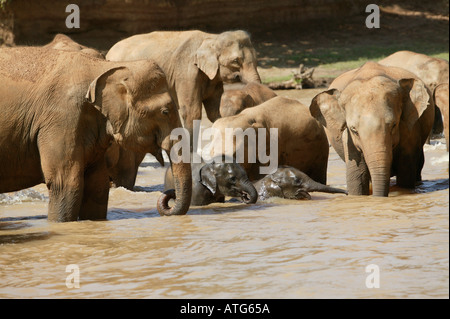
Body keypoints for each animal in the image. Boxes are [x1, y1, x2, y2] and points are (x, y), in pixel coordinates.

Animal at [0, 45, 192, 222]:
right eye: (165, 112)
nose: (170, 195)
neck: (105, 67)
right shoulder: (62, 119)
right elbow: (65, 183)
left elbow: (97, 185)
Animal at [105, 30, 260, 141]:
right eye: (236, 61)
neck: (211, 38)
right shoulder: (186, 73)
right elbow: (192, 112)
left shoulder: (214, 79)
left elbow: (214, 113)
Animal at [310, 61, 436, 198]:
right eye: (354, 130)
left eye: (394, 125)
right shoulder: (348, 139)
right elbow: (357, 178)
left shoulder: (410, 130)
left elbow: (406, 175)